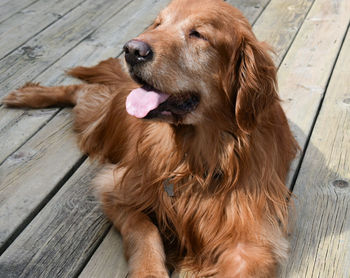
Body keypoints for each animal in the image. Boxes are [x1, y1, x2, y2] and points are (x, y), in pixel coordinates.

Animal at [2, 0, 298, 276]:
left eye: (198, 34)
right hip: (97, 118)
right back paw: (27, 96)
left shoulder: (254, 245)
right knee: (80, 91)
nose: (132, 50)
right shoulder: (114, 188)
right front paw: (149, 270)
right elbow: (145, 230)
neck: (196, 158)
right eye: (158, 24)